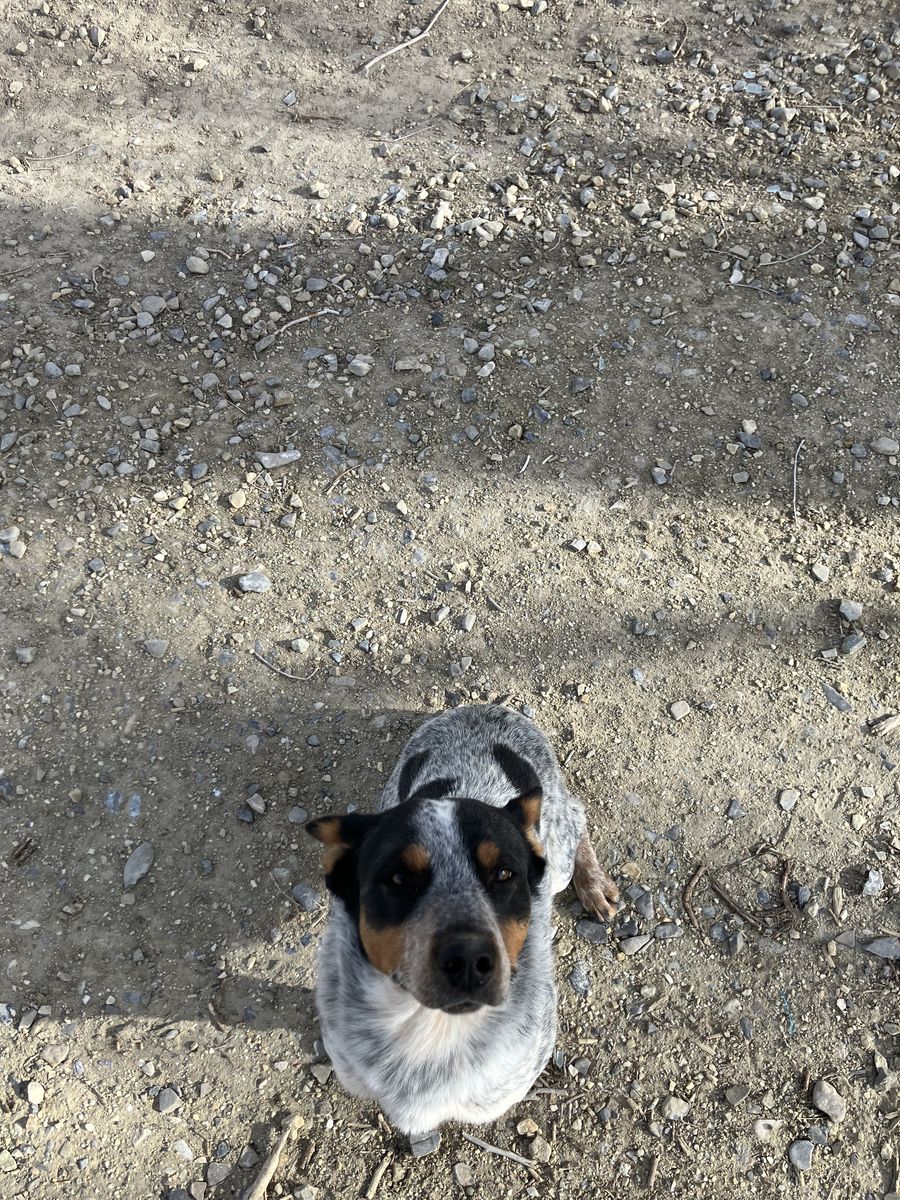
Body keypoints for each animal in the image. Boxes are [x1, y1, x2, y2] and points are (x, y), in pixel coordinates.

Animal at [305, 704, 618, 1141]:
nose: (469, 960)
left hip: (557, 853)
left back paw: (593, 883)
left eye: (503, 873)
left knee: (577, 814)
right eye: (398, 879)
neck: (428, 1031)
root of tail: (487, 708)